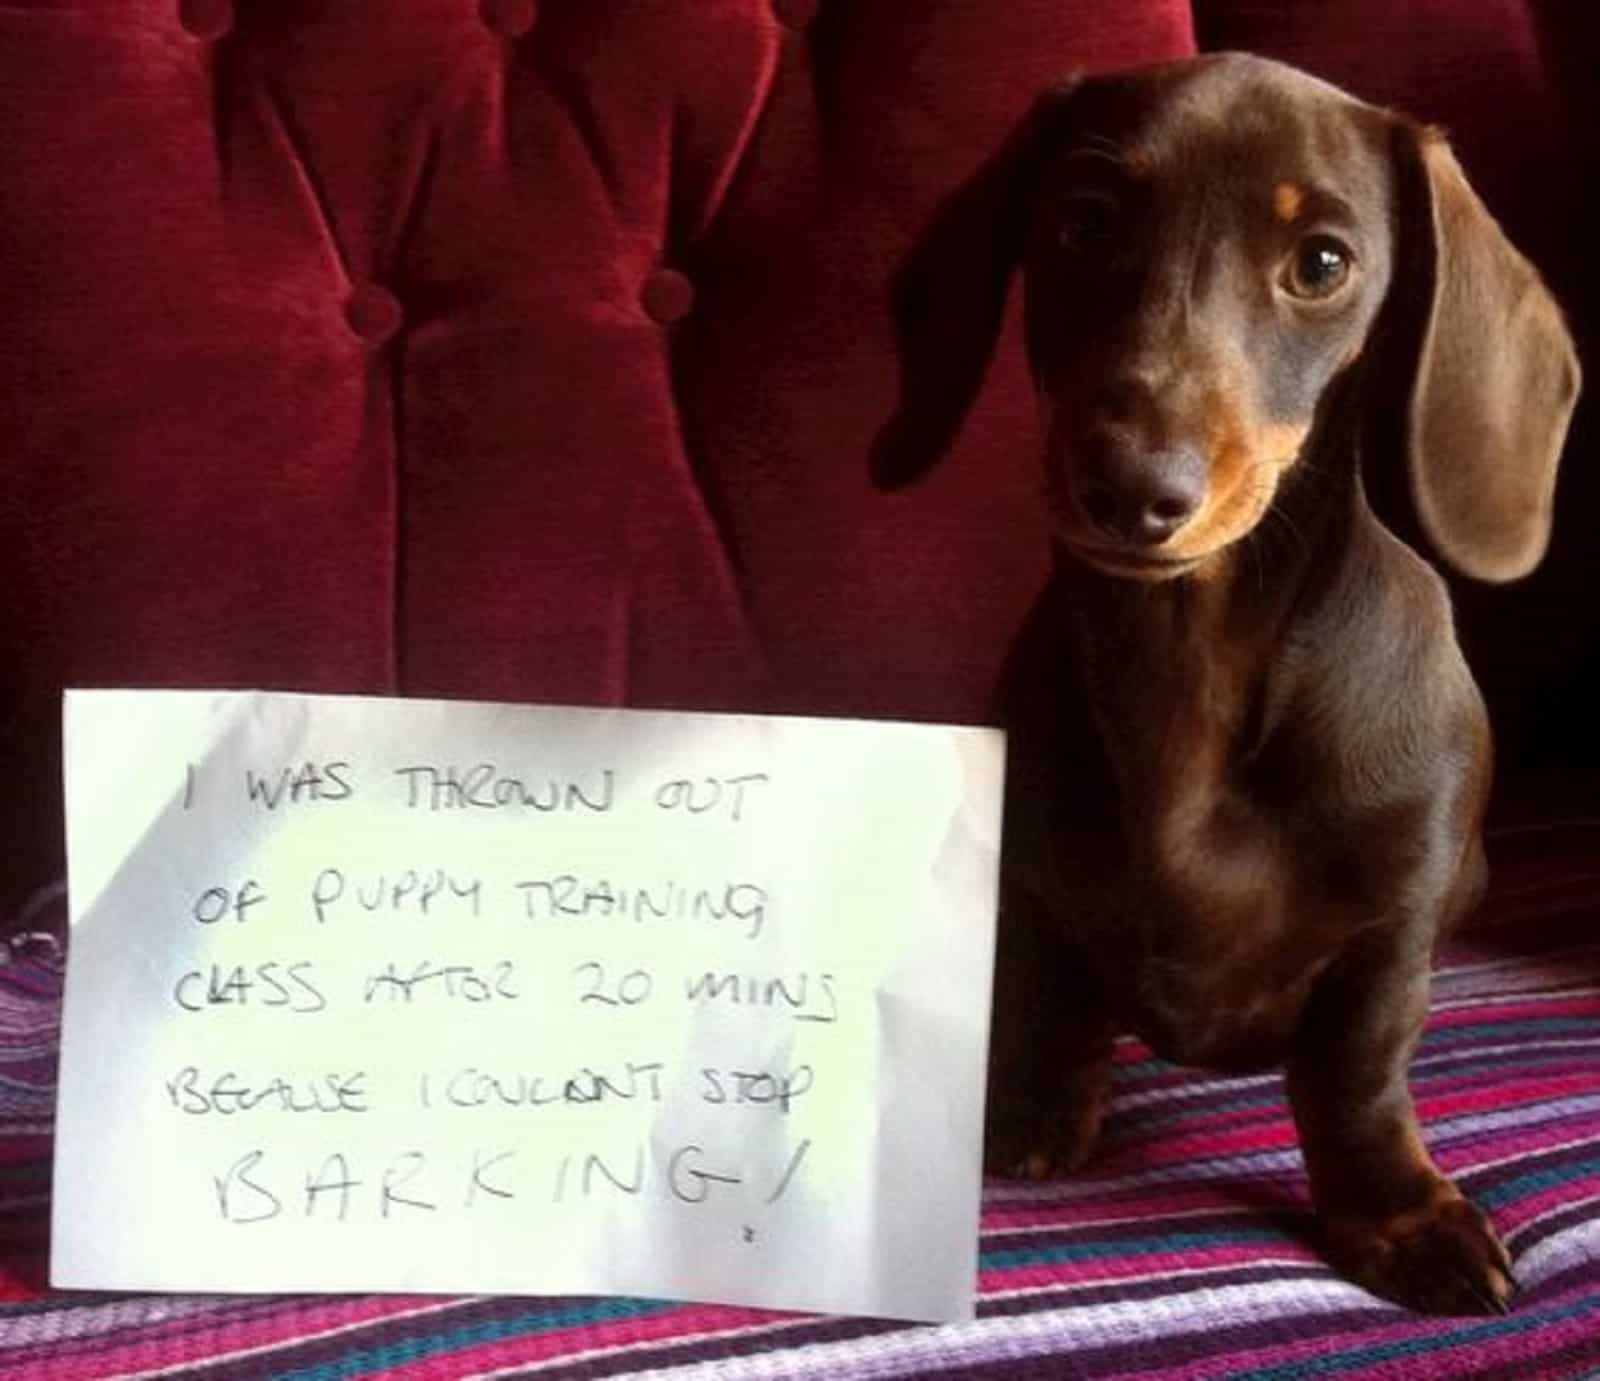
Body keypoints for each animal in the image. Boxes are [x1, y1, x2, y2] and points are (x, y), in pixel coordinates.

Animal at [876, 54, 1587, 1318]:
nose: (1131, 488)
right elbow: (1049, 1000)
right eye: (1082, 220)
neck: (1190, 656)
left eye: (1322, 263)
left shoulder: (1391, 929)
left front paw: (1396, 1214)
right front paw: (1031, 1108)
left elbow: (1353, 1074)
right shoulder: (1033, 883)